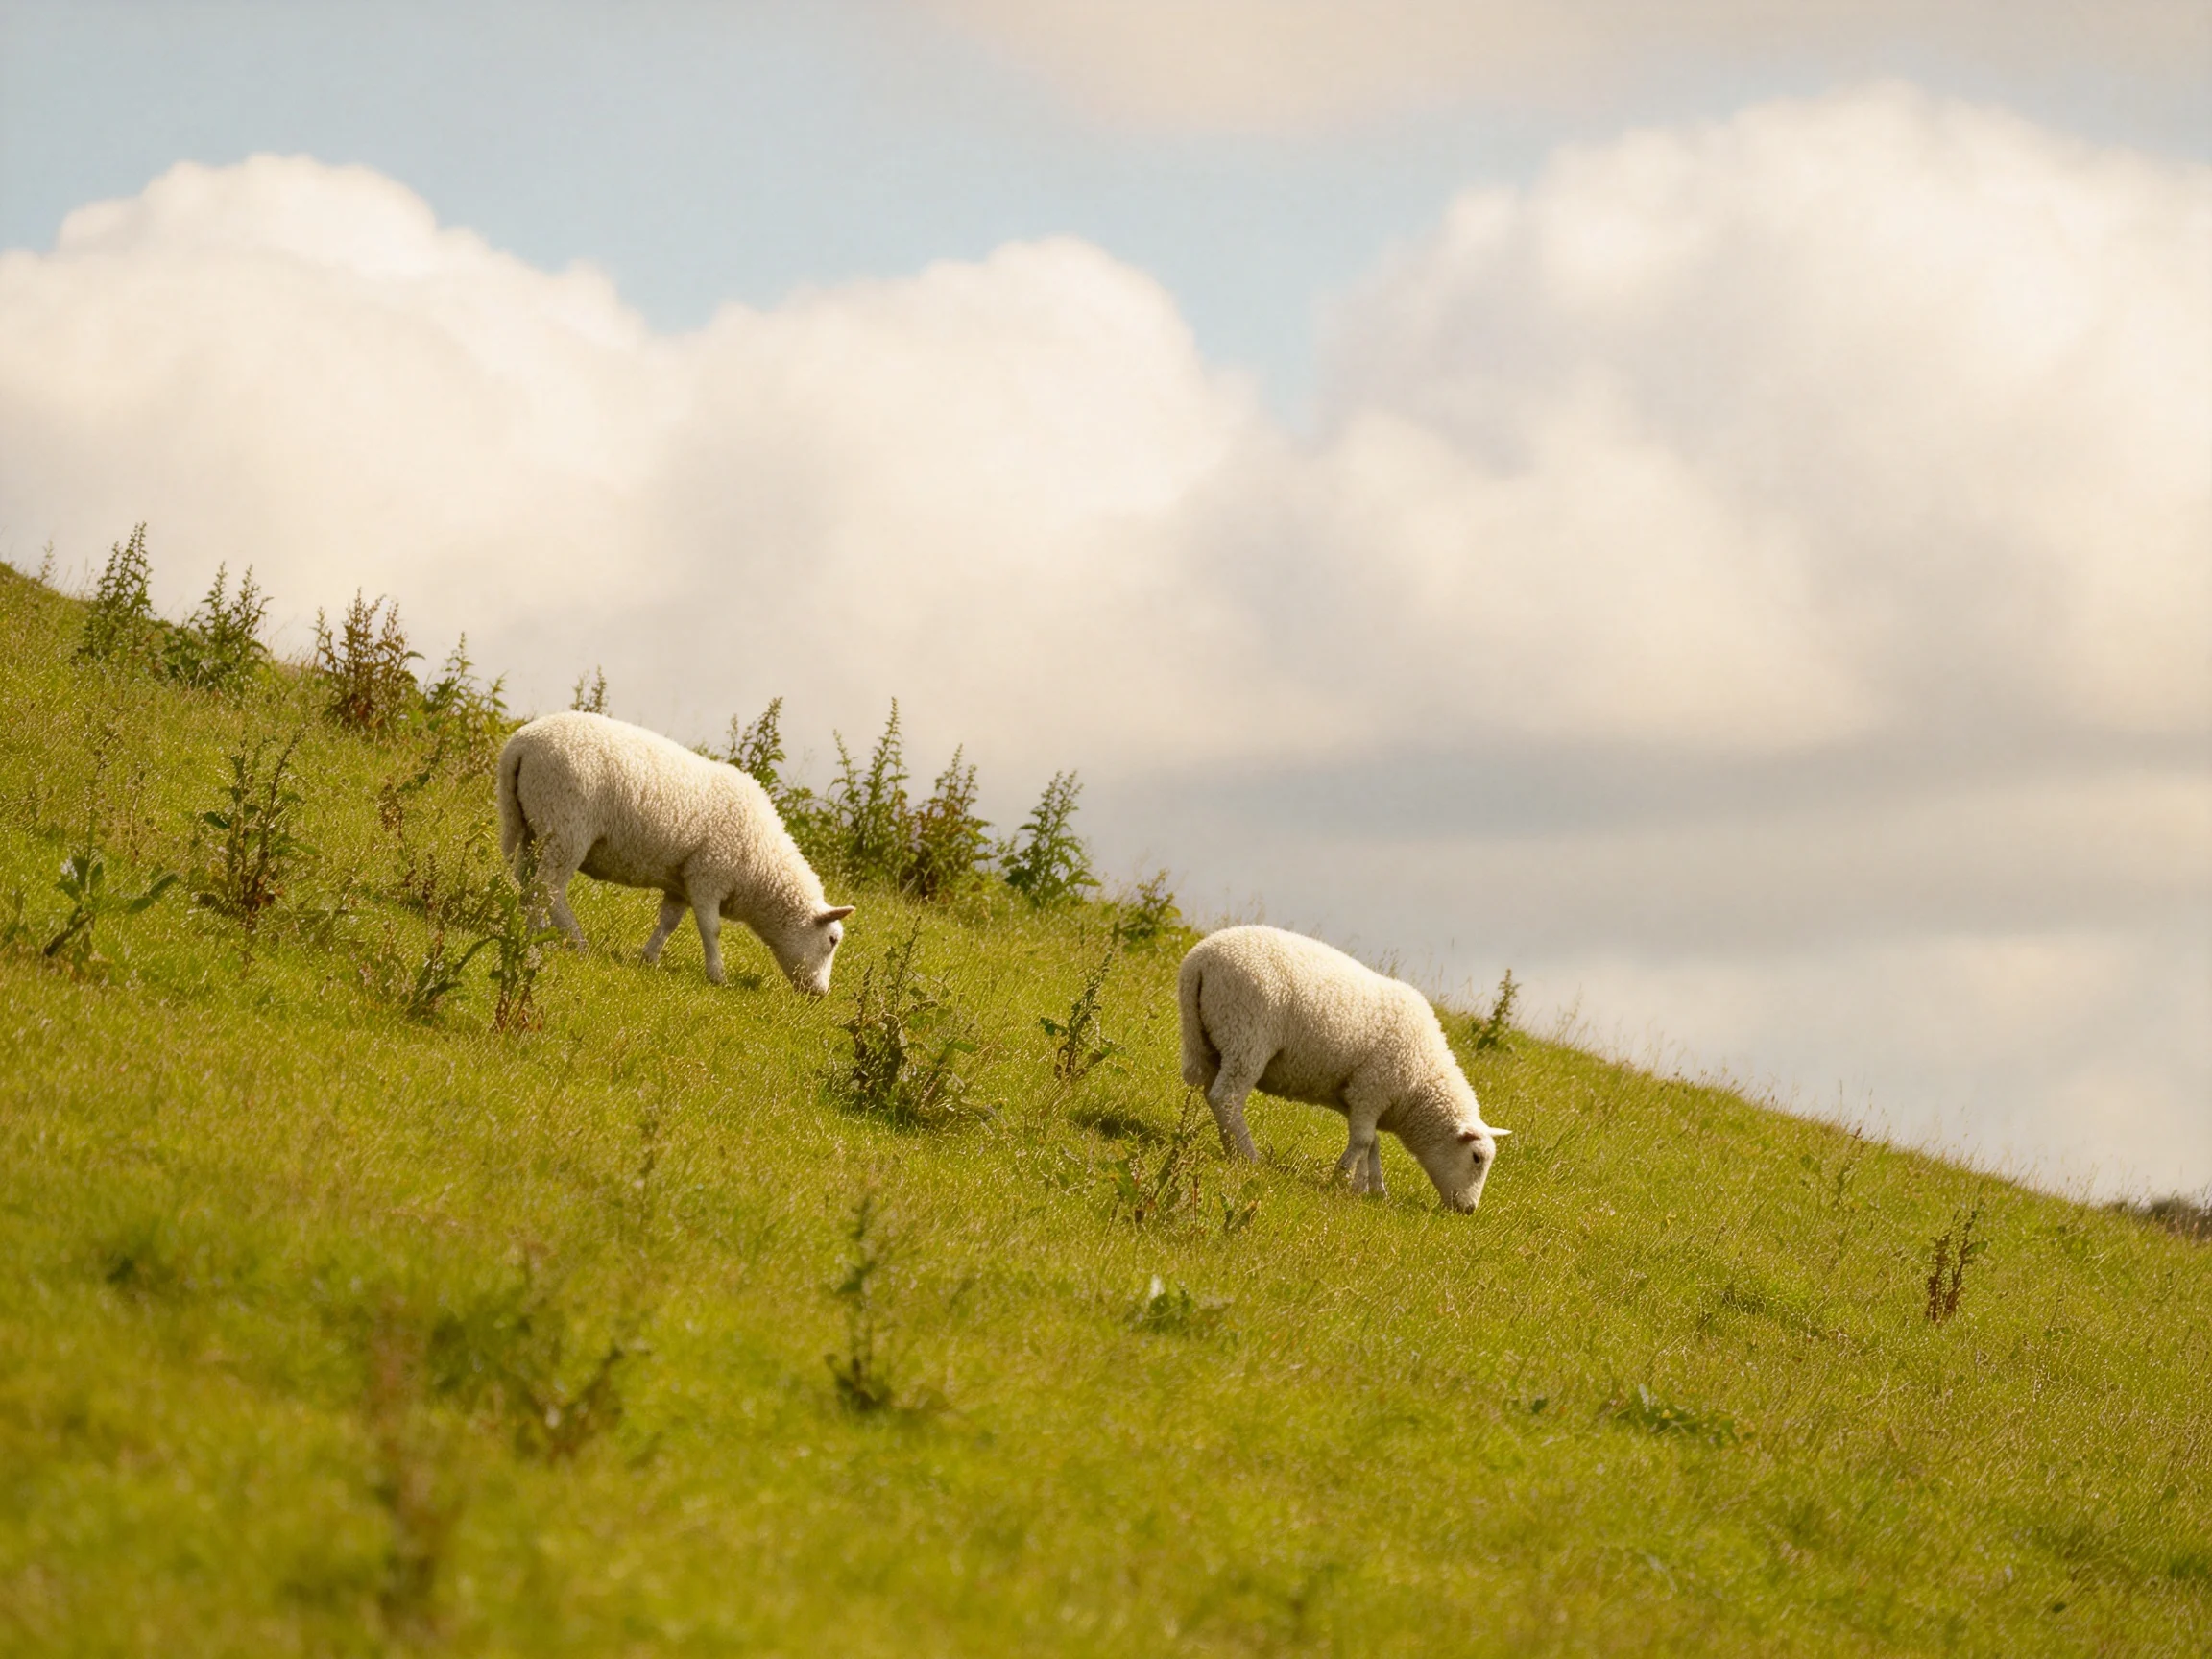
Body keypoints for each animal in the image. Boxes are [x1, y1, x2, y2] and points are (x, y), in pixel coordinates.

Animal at [496, 711, 854, 994]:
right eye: (832, 940)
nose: (820, 994)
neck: (760, 865)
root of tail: (521, 743)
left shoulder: (681, 881)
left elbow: (669, 922)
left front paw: (649, 958)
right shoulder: (708, 876)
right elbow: (711, 929)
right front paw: (717, 976)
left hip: (532, 824)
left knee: (527, 882)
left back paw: (537, 929)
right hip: (567, 827)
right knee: (547, 889)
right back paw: (561, 938)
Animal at [1178, 925, 1510, 1212]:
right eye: (1476, 1158)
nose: (1468, 1210)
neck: (1419, 1083)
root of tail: (1201, 958)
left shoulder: (1358, 1098)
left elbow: (1372, 1143)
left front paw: (1369, 1188)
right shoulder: (1372, 1090)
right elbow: (1364, 1141)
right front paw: (1341, 1177)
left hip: (1207, 1038)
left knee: (1208, 1090)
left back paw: (1220, 1143)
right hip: (1247, 1035)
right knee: (1227, 1097)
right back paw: (1247, 1154)